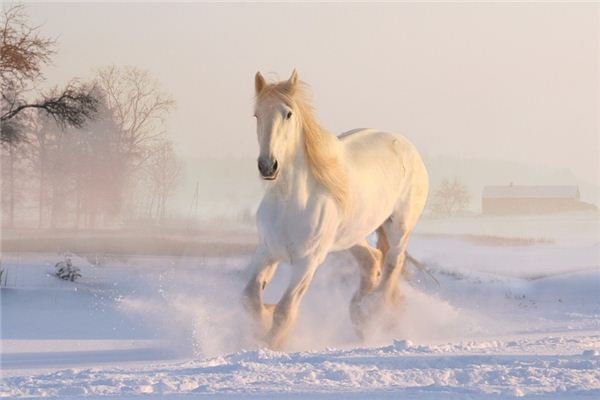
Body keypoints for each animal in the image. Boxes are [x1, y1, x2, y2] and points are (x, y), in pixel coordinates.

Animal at [241, 70, 428, 348]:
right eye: (257, 114)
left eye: (288, 114)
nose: (268, 166)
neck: (289, 203)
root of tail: (407, 146)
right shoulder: (267, 251)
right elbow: (250, 299)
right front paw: (263, 322)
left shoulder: (308, 262)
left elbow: (285, 311)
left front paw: (271, 343)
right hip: (351, 235)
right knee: (372, 260)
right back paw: (360, 314)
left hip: (399, 227)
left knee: (393, 263)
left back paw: (376, 313)